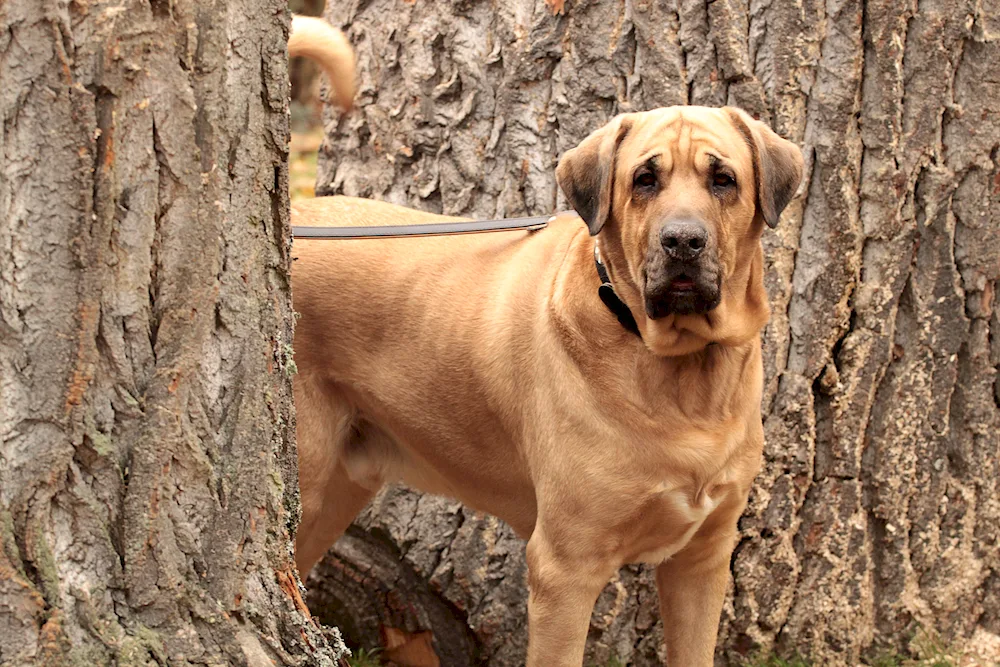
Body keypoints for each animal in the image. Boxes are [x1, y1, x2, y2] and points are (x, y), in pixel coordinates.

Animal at [286, 15, 800, 667]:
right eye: (645, 180)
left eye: (724, 180)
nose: (683, 242)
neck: (680, 375)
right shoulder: (565, 569)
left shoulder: (701, 559)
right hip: (306, 472)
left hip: (337, 491)